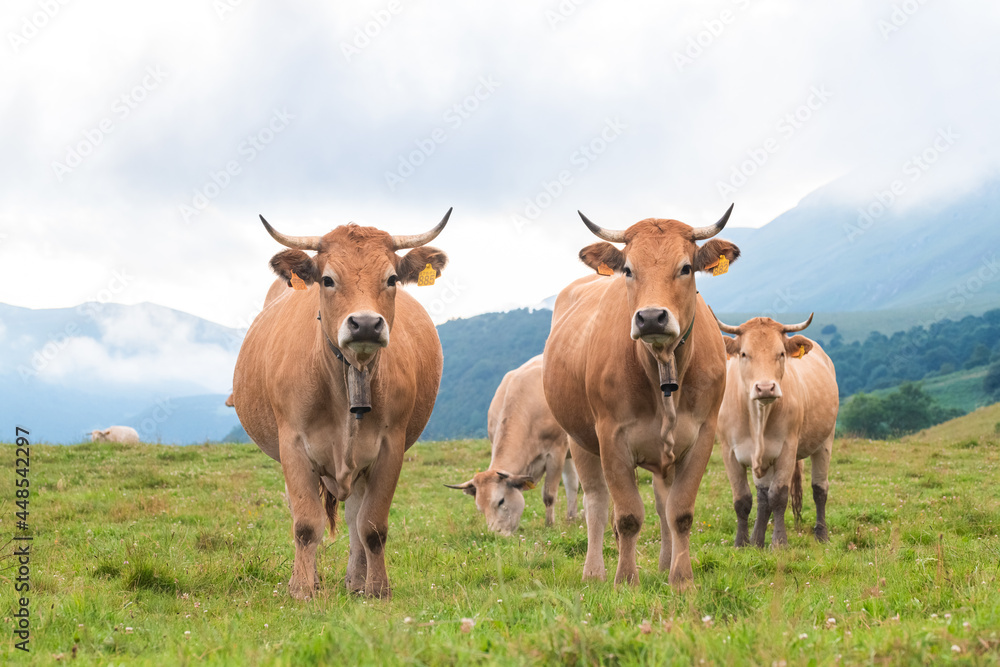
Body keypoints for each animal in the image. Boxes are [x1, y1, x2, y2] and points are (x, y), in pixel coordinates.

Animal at [232, 209, 452, 600]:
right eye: (327, 279)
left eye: (392, 278)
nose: (364, 324)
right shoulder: (293, 445)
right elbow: (306, 524)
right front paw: (302, 588)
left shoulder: (390, 447)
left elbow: (372, 526)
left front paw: (377, 588)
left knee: (354, 519)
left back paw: (355, 580)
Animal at [446, 354, 580, 536]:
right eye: (480, 508)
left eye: (501, 501)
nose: (496, 535)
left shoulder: (556, 452)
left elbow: (549, 495)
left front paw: (549, 525)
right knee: (573, 482)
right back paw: (572, 518)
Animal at [544, 205, 740, 588]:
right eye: (629, 270)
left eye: (686, 267)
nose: (650, 317)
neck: (662, 365)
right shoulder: (611, 436)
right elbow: (628, 515)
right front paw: (625, 579)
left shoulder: (702, 435)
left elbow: (680, 512)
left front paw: (682, 578)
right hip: (579, 439)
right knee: (596, 503)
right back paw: (594, 572)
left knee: (663, 504)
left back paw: (665, 564)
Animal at [716, 316, 840, 552]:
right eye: (744, 354)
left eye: (781, 353)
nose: (765, 388)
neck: (758, 416)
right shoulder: (729, 453)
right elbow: (742, 499)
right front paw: (741, 543)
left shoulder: (787, 450)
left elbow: (779, 497)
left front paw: (779, 542)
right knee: (763, 497)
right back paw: (756, 540)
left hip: (825, 441)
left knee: (820, 489)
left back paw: (822, 534)